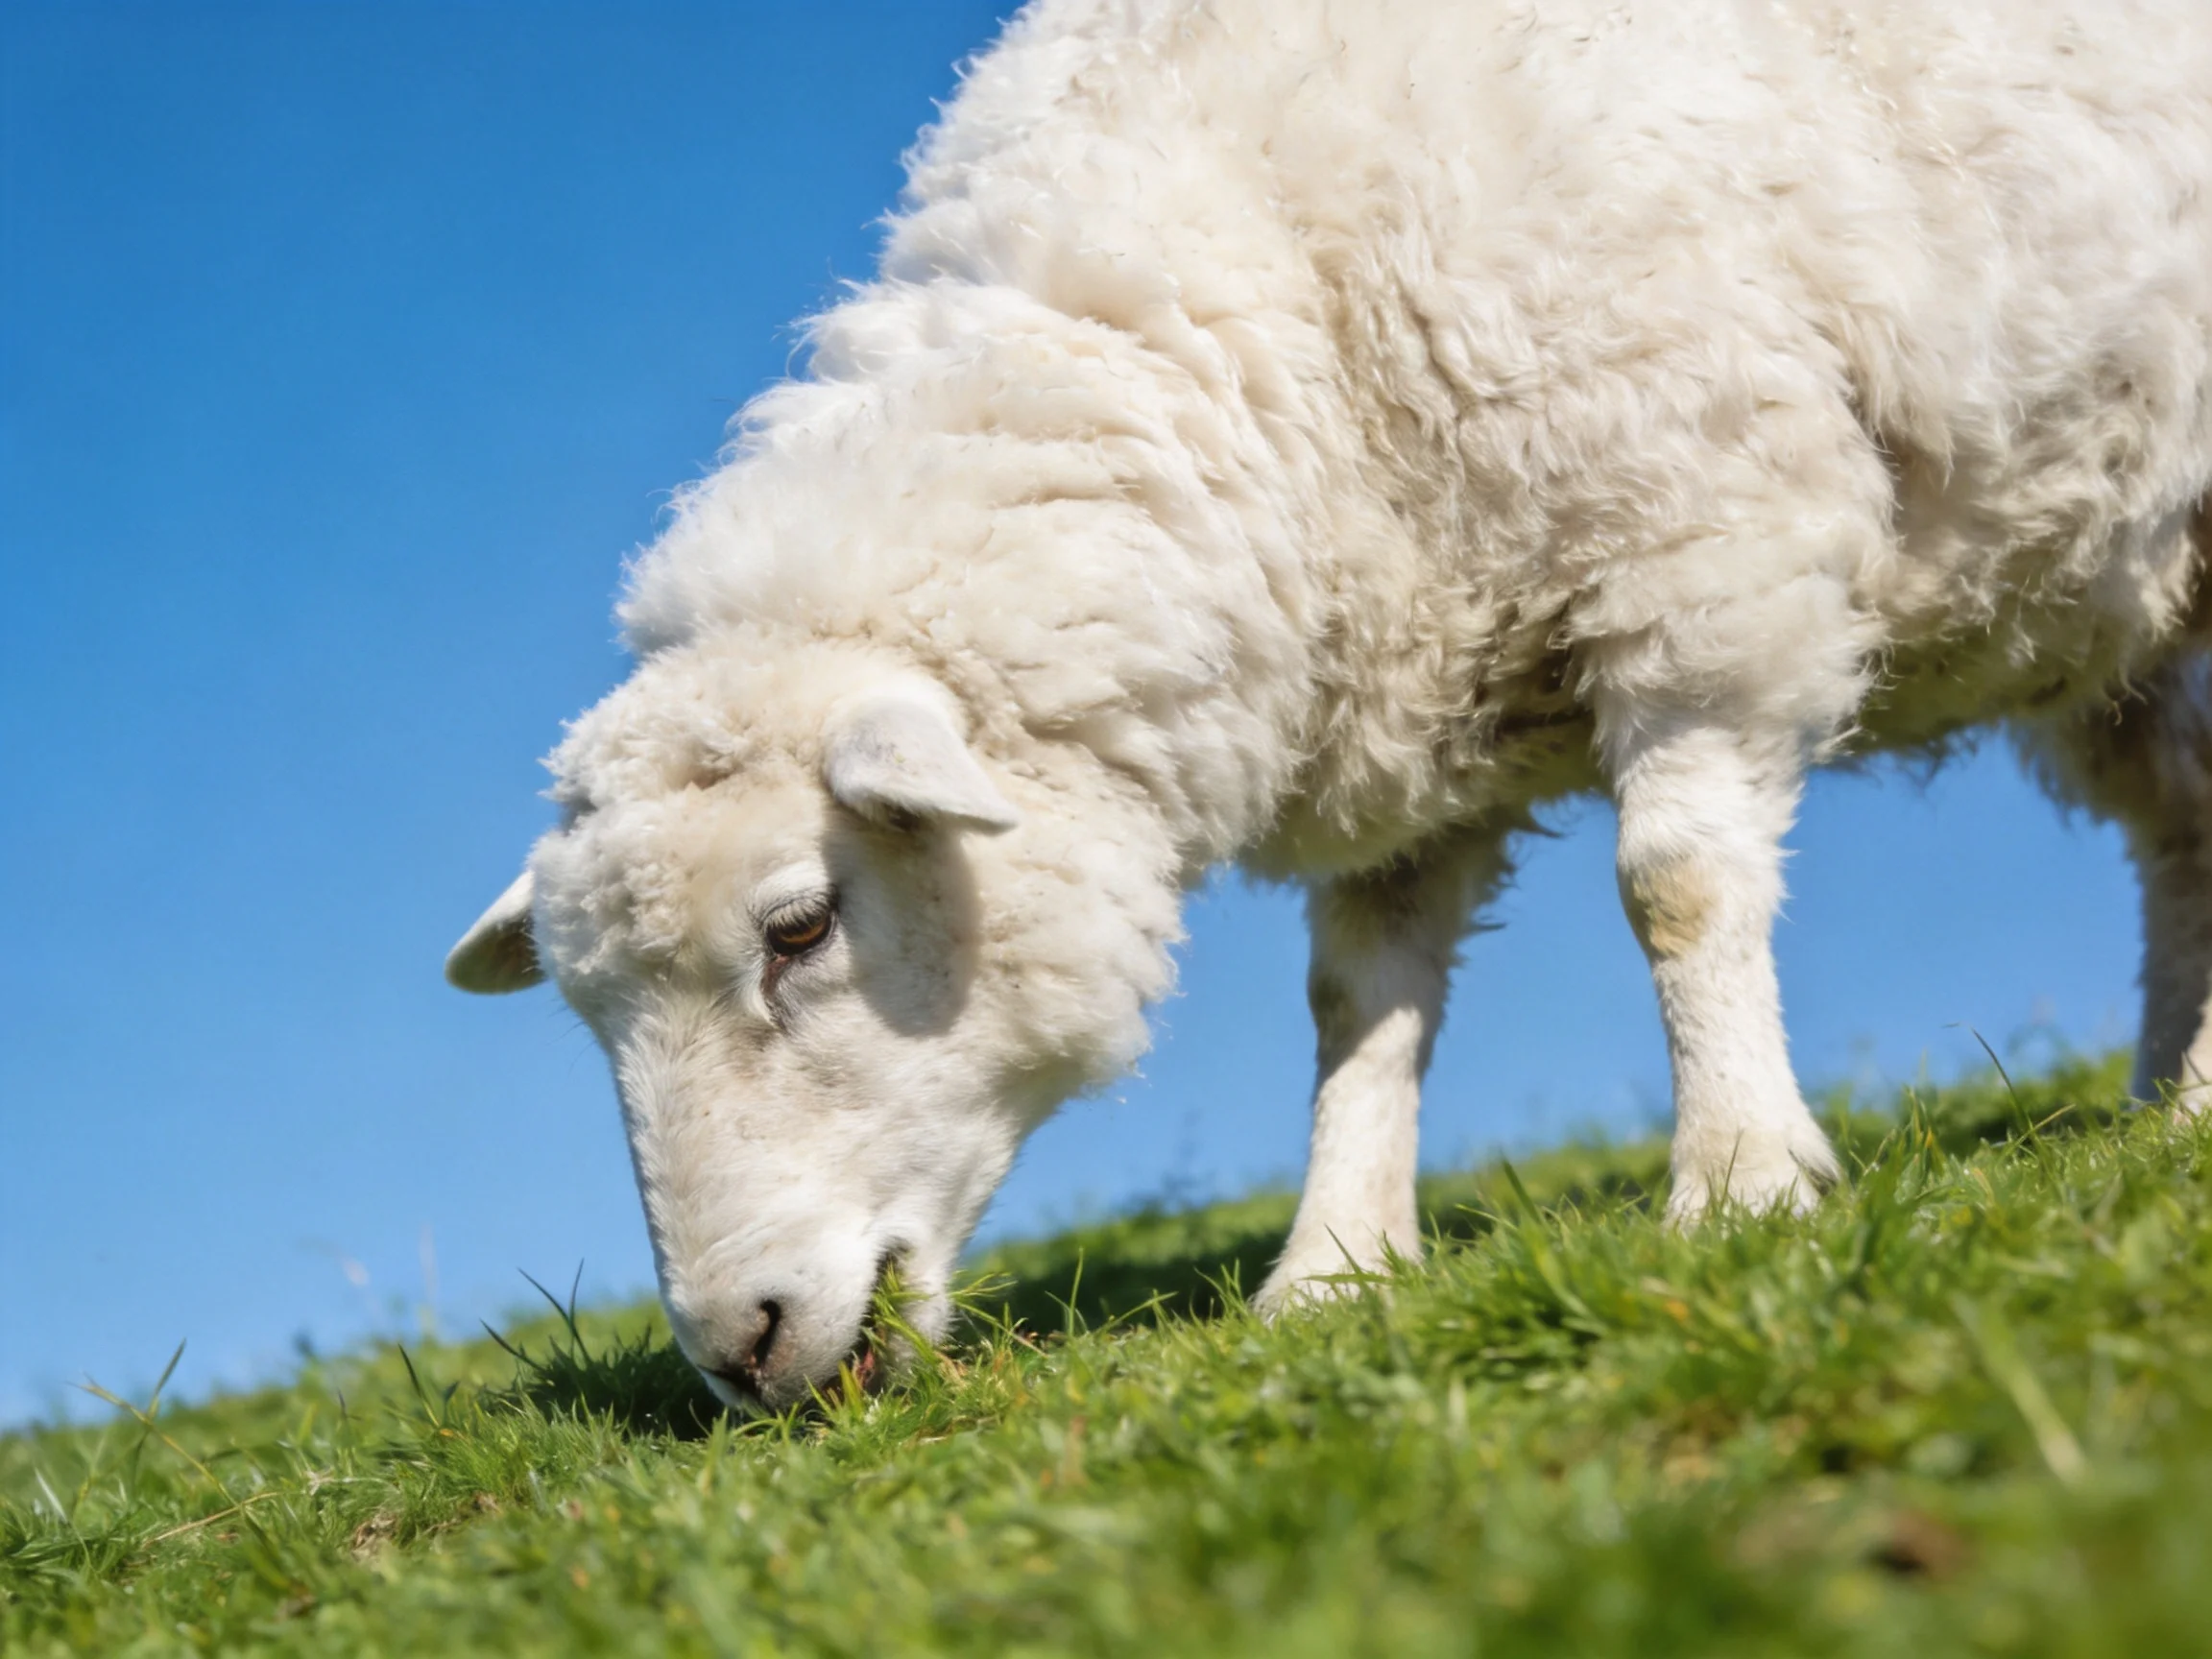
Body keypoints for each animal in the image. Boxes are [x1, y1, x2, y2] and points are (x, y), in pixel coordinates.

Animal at [448, 0, 2212, 1411]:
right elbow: (1356, 1001)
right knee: (2177, 821)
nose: (738, 1349)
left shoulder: (1705, 554)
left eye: (799, 927)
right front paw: (1329, 1271)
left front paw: (1734, 1183)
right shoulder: (1405, 705)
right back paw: (2173, 1094)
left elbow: (1676, 886)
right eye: (589, 1010)